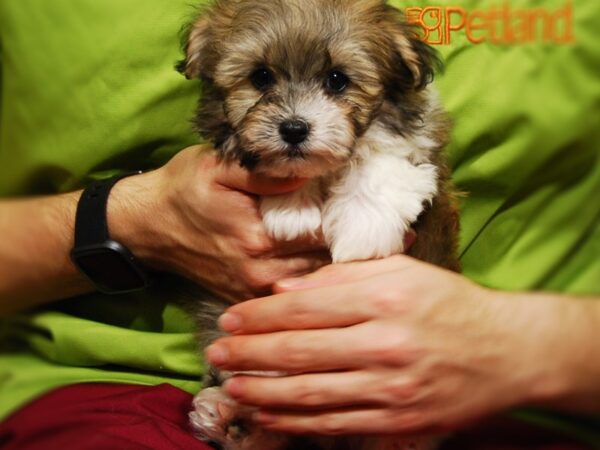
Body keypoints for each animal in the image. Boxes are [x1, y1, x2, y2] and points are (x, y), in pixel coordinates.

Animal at [178, 0, 460, 450]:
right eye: (261, 77)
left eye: (337, 80)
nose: (294, 128)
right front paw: (292, 211)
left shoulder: (417, 143)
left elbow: (379, 154)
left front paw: (363, 230)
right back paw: (225, 413)